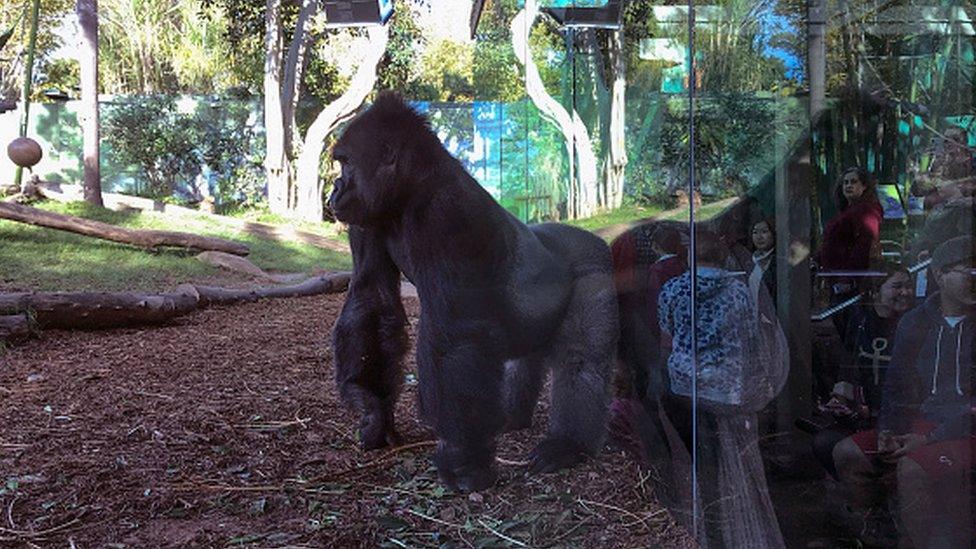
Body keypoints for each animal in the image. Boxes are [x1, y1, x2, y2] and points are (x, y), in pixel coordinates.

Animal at [328, 92, 616, 490]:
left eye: (345, 164)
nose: (334, 189)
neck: (412, 186)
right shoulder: (366, 218)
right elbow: (371, 300)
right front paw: (372, 411)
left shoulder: (446, 213)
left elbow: (455, 334)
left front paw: (463, 461)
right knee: (521, 358)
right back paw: (511, 418)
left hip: (595, 266)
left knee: (580, 357)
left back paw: (568, 444)